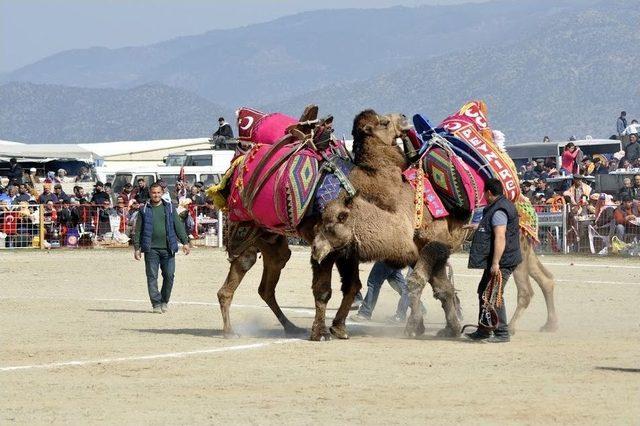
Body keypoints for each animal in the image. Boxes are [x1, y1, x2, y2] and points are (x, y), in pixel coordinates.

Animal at [212, 108, 412, 342]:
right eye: (384, 121)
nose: (405, 118)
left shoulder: (348, 247)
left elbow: (352, 286)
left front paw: (339, 328)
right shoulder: (323, 243)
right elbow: (323, 290)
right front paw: (321, 333)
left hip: (272, 239)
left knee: (267, 285)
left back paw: (290, 327)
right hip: (244, 228)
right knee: (235, 276)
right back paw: (230, 332)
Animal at [308, 111, 556, 338]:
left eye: (339, 217)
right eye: (384, 122)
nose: (316, 248)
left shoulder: (436, 243)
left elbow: (416, 282)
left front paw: (413, 327)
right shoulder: (425, 249)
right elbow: (443, 289)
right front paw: (450, 327)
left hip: (516, 242)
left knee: (524, 288)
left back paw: (513, 327)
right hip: (524, 246)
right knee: (544, 279)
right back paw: (547, 324)